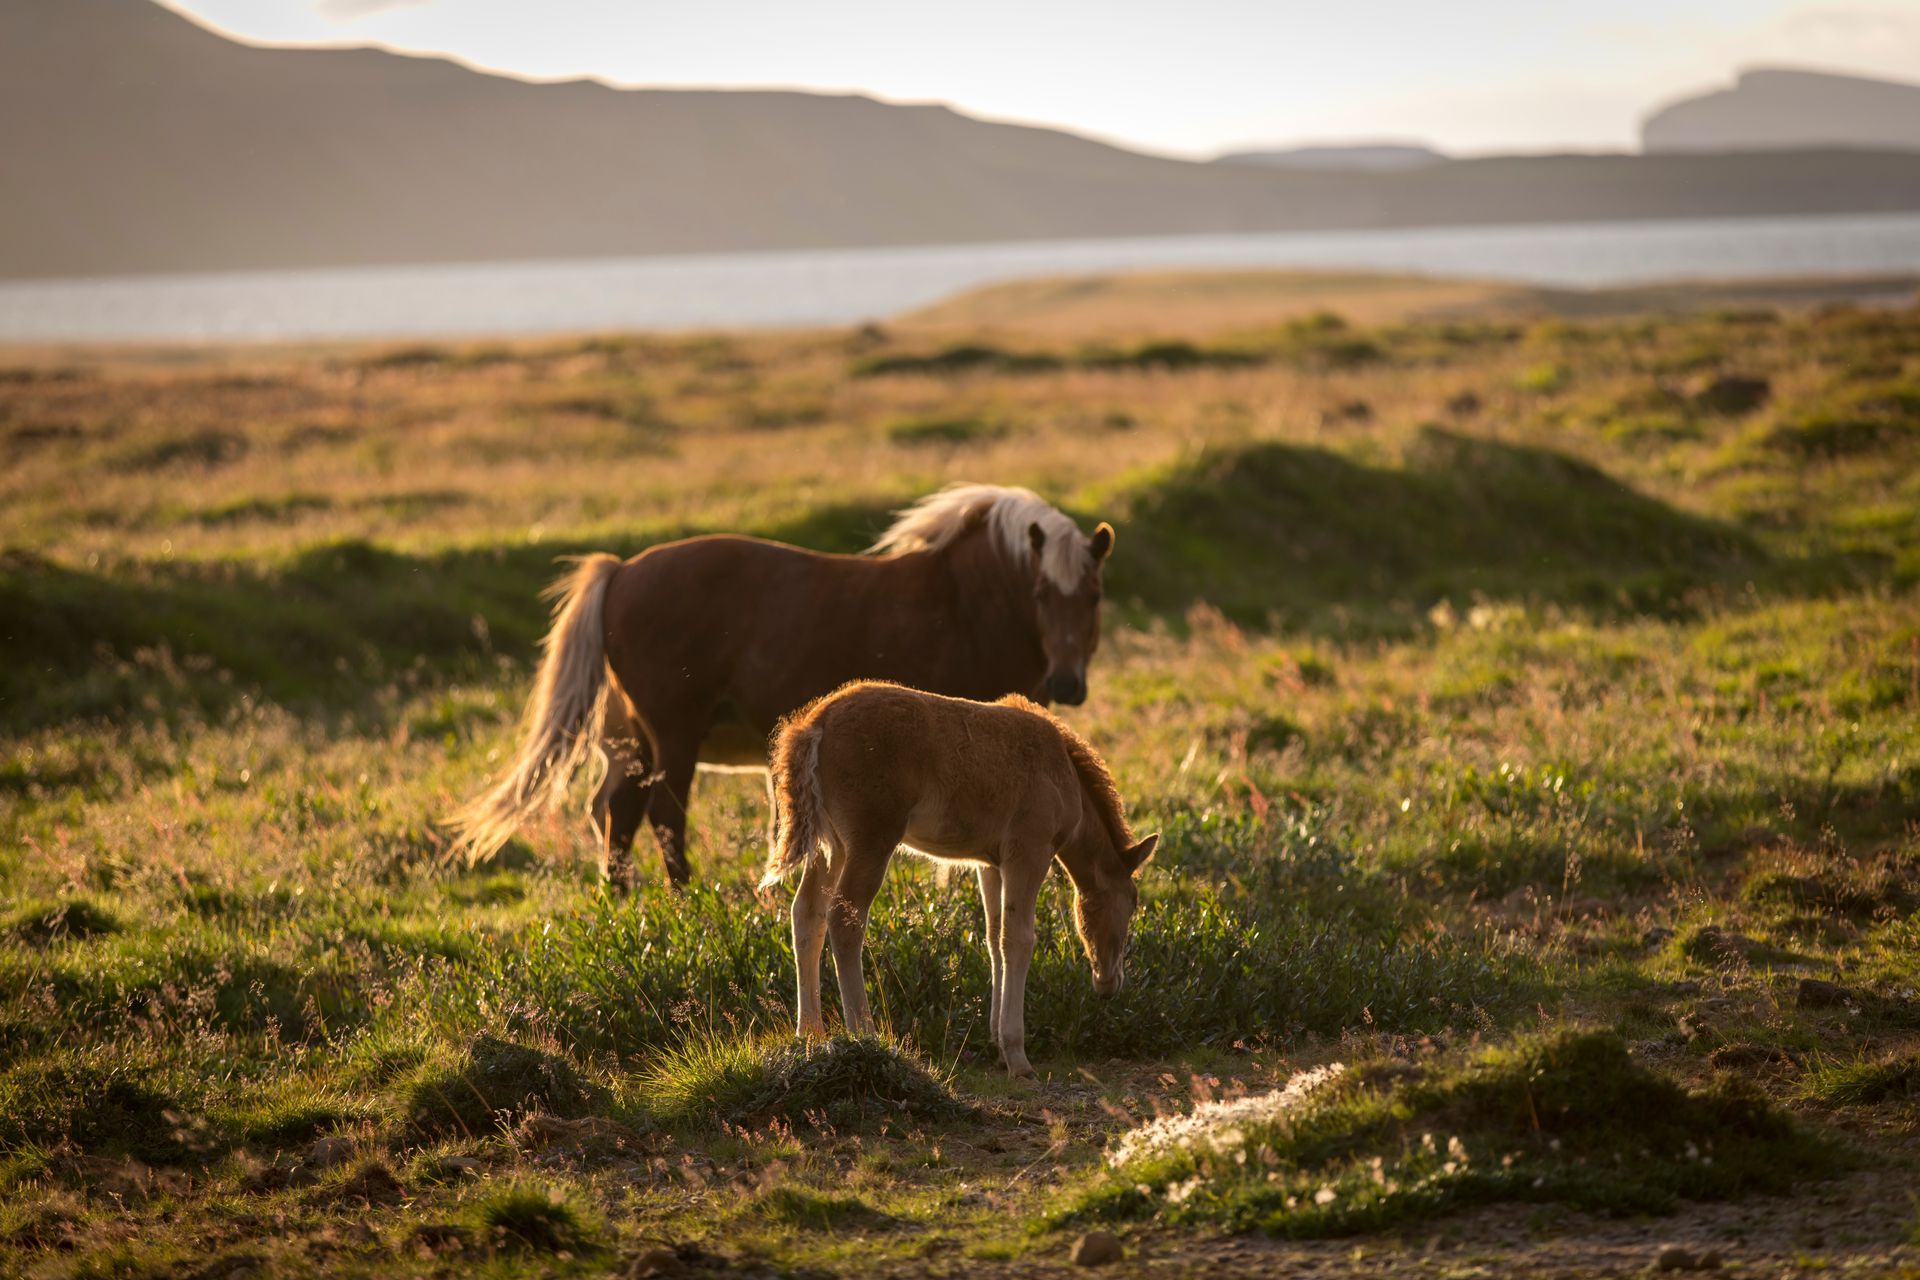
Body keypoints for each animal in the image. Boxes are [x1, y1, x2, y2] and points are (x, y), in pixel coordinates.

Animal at [448, 484, 1118, 889]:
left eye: (1094, 596)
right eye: (1041, 593)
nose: (1067, 682)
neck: (966, 600)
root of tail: (621, 570)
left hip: (632, 739)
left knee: (617, 811)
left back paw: (623, 899)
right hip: (674, 733)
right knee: (664, 813)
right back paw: (686, 898)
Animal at [760, 680, 1157, 1077]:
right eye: (1133, 900)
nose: (1109, 984)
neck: (1063, 772)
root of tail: (815, 723)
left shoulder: (991, 864)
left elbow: (995, 938)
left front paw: (998, 1044)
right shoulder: (1029, 851)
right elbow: (1019, 940)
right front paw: (1017, 1055)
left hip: (831, 846)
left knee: (807, 914)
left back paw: (809, 1035)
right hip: (871, 840)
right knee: (844, 920)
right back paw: (866, 1036)